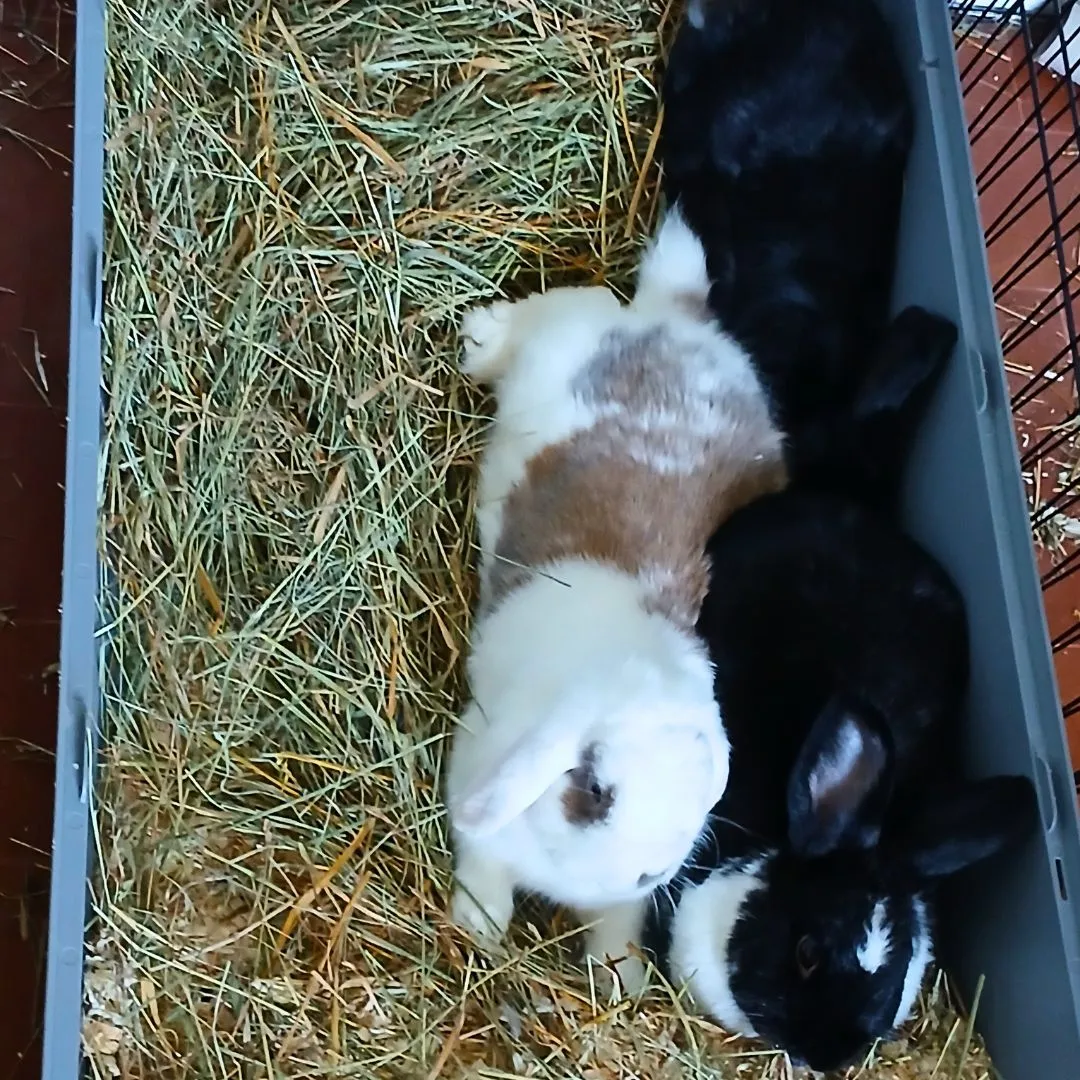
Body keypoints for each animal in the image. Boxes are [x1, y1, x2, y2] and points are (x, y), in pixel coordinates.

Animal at [444, 210, 786, 954]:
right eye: (596, 789)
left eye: (699, 809)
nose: (643, 873)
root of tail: (674, 318)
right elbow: (483, 864)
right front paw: (478, 928)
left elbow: (617, 933)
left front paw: (620, 972)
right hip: (568, 330)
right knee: (544, 314)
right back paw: (478, 340)